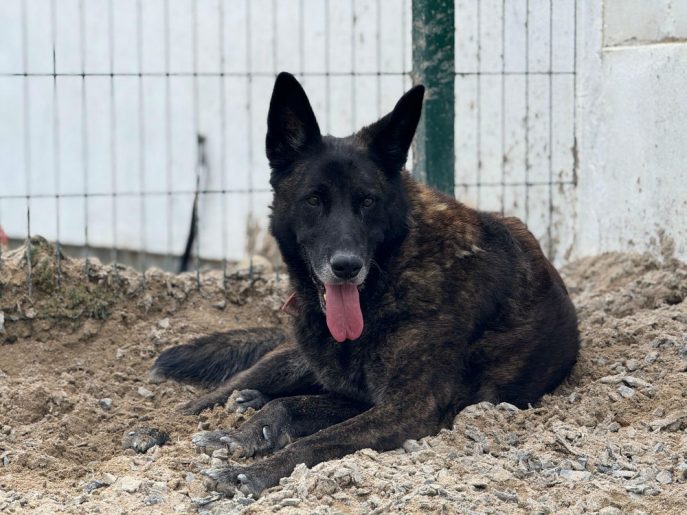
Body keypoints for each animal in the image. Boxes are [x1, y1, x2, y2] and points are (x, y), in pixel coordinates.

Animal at [151, 72, 579, 497]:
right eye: (314, 200)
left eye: (368, 201)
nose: (346, 266)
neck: (391, 275)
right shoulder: (366, 399)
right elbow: (291, 409)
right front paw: (241, 437)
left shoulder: (403, 408)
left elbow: (313, 436)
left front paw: (255, 469)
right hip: (291, 358)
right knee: (218, 392)